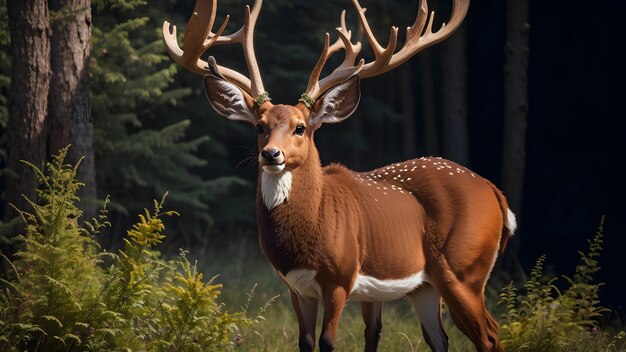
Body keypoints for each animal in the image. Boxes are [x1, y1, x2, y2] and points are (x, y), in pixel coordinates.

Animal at [163, 0, 516, 350]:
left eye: (300, 128)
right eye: (260, 126)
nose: (271, 154)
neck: (306, 237)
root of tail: (495, 192)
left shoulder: (340, 279)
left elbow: (328, 341)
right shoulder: (296, 288)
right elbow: (306, 342)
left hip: (464, 268)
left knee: (489, 333)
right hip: (425, 286)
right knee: (440, 338)